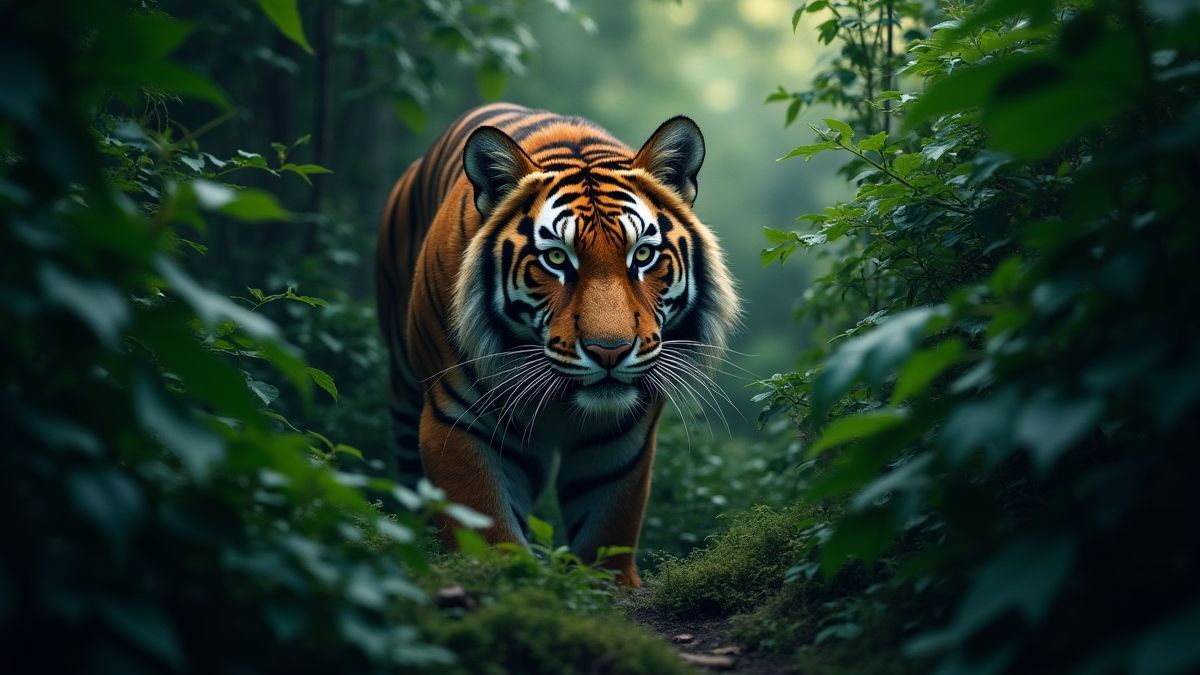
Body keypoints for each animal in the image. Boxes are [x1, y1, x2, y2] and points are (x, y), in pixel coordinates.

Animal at [375, 103, 739, 585]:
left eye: (643, 255)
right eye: (556, 259)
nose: (610, 351)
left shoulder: (620, 436)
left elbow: (609, 525)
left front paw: (610, 587)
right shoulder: (456, 420)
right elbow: (484, 528)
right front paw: (503, 582)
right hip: (401, 390)